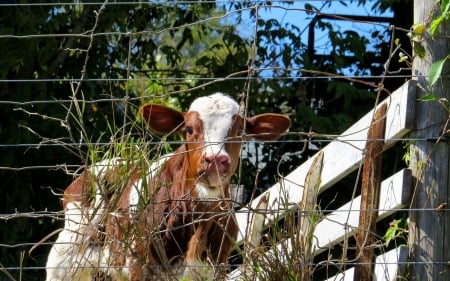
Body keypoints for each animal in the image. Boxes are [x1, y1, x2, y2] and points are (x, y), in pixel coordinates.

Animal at [45, 92, 292, 278]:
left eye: (240, 132)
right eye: (189, 129)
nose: (215, 160)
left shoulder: (216, 265)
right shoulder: (140, 263)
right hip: (65, 259)